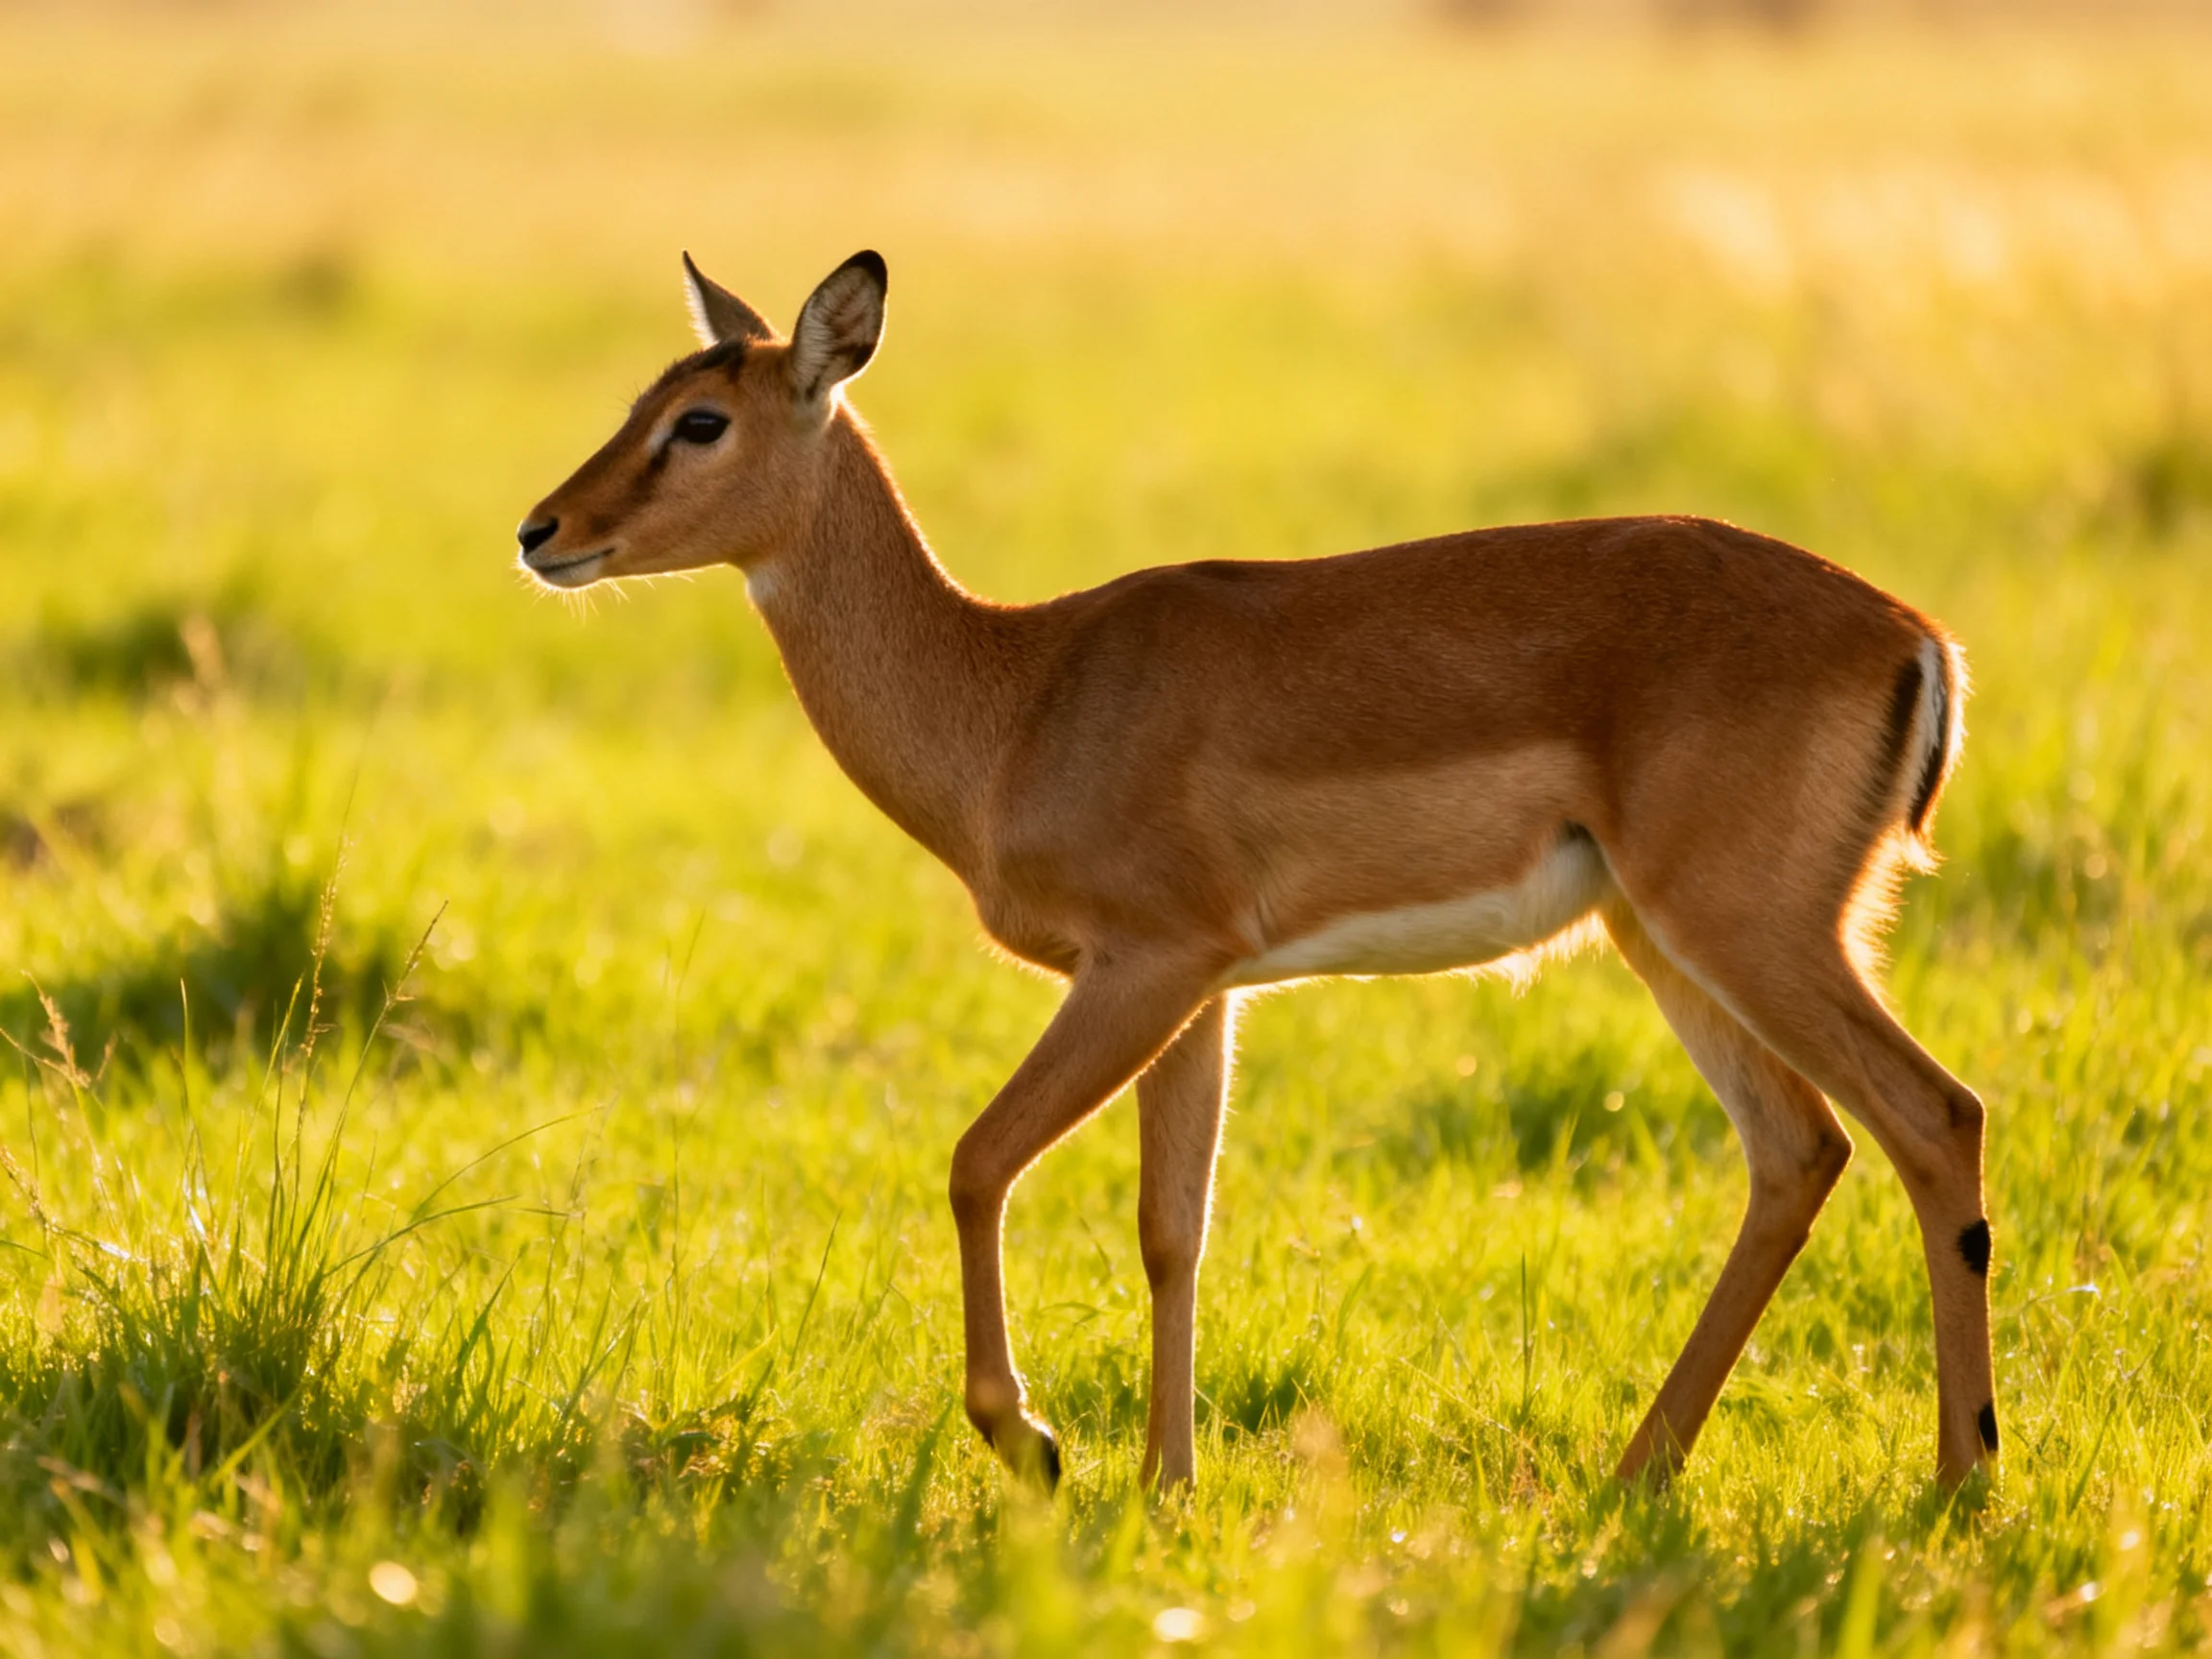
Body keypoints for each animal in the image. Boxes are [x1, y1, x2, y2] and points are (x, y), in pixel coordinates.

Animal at [517, 250, 1996, 1493]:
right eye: (646, 395)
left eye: (700, 421)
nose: (542, 530)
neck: (1017, 696)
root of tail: (1915, 636)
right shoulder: (1207, 995)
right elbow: (1174, 1226)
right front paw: (1165, 1486)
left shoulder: (1147, 965)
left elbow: (977, 1161)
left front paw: (1036, 1446)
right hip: (1664, 939)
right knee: (1800, 1150)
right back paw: (1638, 1473)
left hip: (1749, 930)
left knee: (1935, 1116)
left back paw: (1959, 1482)